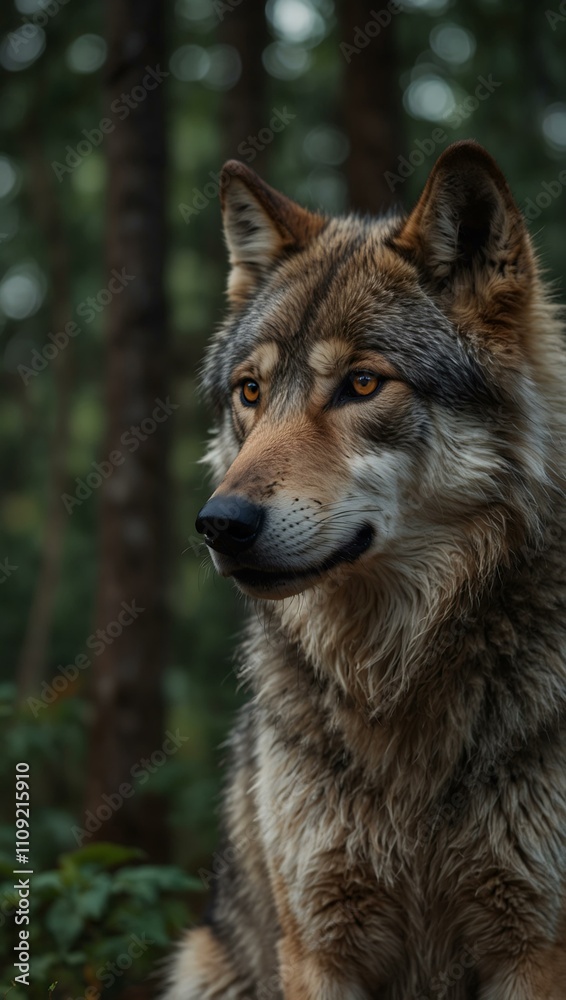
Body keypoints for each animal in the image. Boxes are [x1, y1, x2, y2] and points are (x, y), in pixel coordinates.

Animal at [166, 141, 566, 999]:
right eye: (250, 392)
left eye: (361, 383)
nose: (221, 524)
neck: (394, 673)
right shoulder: (319, 944)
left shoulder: (535, 945)